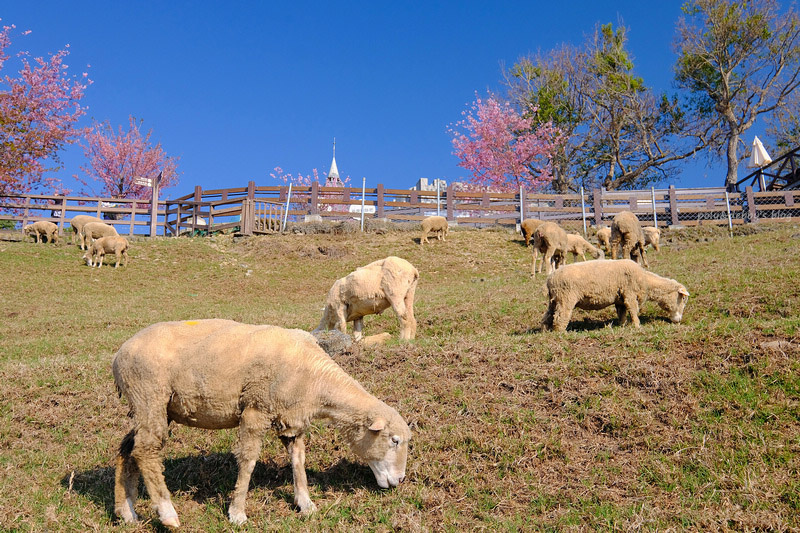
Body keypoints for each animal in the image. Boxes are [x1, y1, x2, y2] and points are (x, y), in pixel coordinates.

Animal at [112, 318, 410, 524]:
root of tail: (118, 355)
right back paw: (167, 513)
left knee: (128, 448)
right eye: (394, 440)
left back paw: (126, 512)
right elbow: (248, 460)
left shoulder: (291, 418)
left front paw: (306, 503)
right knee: (145, 450)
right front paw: (237, 513)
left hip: (152, 406)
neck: (315, 377)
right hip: (149, 395)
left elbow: (298, 460)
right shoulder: (256, 408)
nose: (400, 480)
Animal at [540, 260, 692, 330]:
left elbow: (622, 313)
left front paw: (622, 325)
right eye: (683, 299)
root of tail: (550, 279)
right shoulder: (630, 294)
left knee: (547, 316)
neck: (646, 280)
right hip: (565, 298)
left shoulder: (620, 298)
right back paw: (561, 332)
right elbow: (633, 310)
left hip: (554, 300)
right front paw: (637, 326)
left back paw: (545, 331)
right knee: (560, 317)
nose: (678, 321)